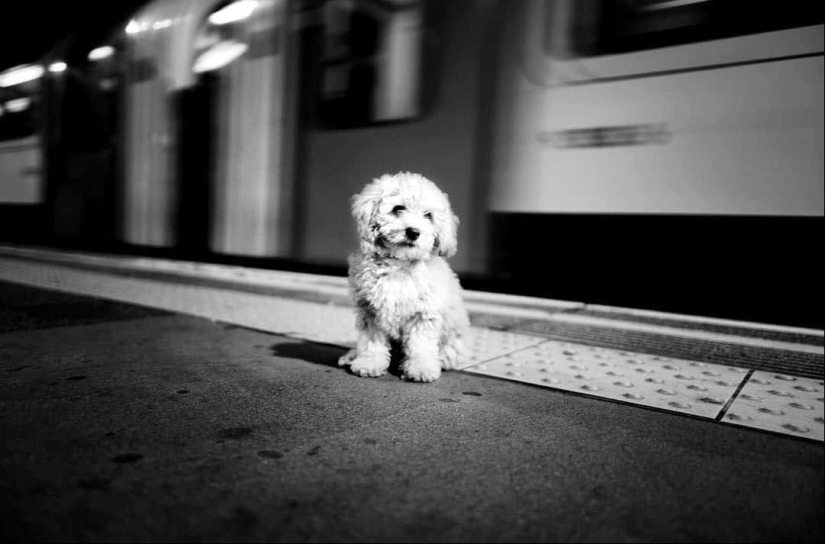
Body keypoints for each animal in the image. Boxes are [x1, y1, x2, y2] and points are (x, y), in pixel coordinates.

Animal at [336, 172, 466, 380]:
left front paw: (421, 368)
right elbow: (371, 341)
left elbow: (421, 343)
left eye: (428, 215)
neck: (399, 263)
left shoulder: (424, 313)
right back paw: (351, 356)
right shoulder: (370, 311)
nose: (413, 232)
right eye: (398, 208)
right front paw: (369, 363)